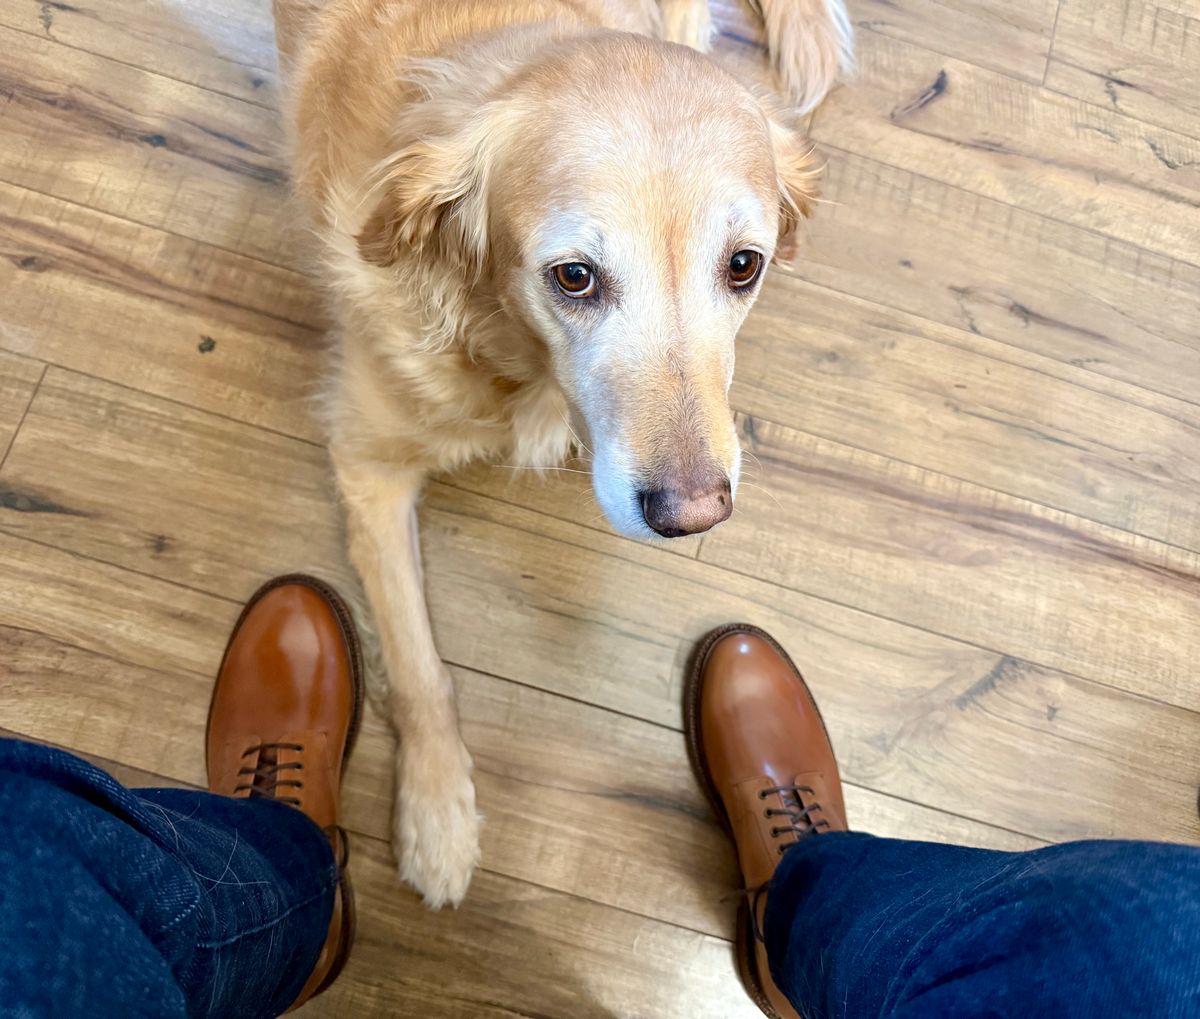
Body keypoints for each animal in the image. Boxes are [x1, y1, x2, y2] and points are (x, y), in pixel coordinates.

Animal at [272, 0, 854, 907]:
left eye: (744, 265)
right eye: (574, 276)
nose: (694, 514)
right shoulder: (369, 463)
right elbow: (418, 664)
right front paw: (437, 814)